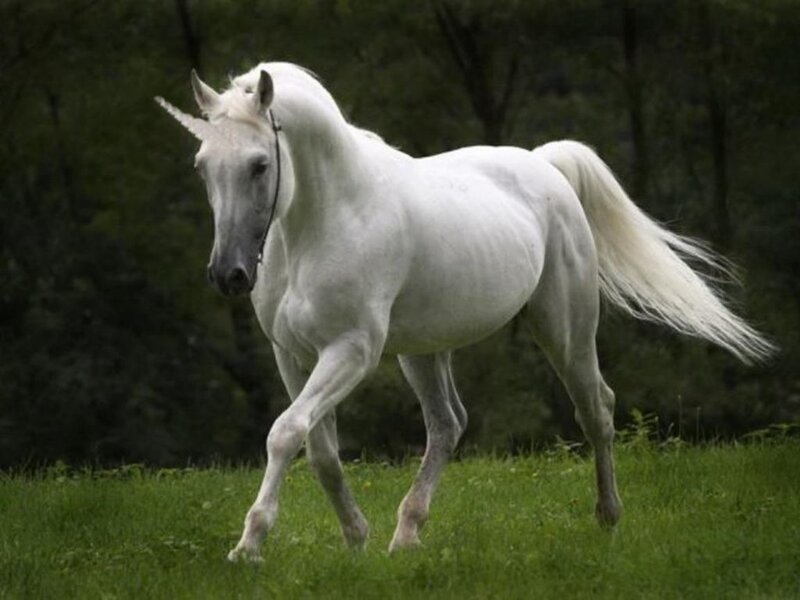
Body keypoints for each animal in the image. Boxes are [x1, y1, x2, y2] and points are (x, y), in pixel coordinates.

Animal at [156, 62, 773, 562]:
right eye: (201, 164)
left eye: (260, 165)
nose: (229, 275)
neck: (326, 218)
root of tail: (544, 165)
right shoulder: (293, 356)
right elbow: (320, 449)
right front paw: (355, 539)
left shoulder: (351, 350)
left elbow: (285, 433)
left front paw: (250, 545)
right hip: (424, 351)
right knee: (448, 424)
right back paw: (405, 536)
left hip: (564, 329)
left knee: (595, 409)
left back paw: (607, 520)